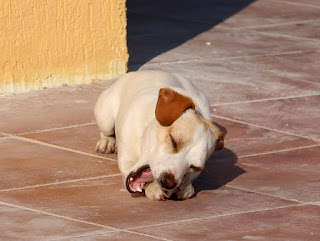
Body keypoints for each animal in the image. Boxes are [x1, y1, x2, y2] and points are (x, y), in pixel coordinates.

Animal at [95, 70, 224, 201]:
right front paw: (153, 187)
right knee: (106, 131)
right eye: (173, 141)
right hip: (106, 118)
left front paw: (186, 186)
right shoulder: (126, 159)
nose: (168, 182)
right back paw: (107, 142)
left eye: (195, 167)